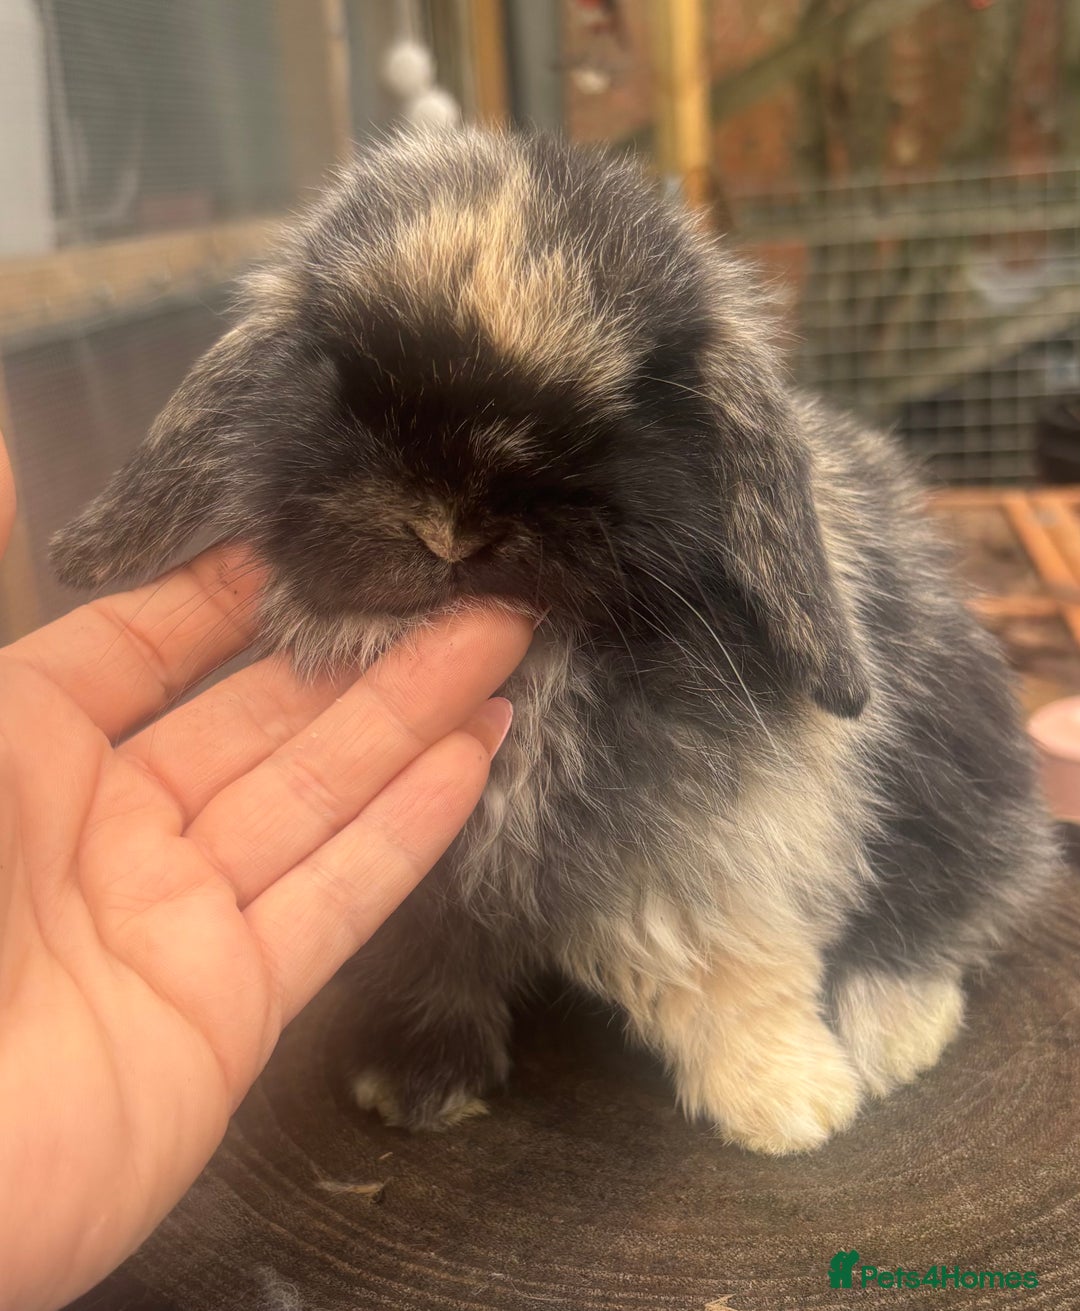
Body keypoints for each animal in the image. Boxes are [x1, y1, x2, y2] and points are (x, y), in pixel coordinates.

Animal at [51, 128, 1056, 1155]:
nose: (449, 529)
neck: (540, 670)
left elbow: (720, 965)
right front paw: (413, 1085)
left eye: (625, 408)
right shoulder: (424, 896)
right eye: (344, 379)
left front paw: (792, 1105)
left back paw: (894, 1036)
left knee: (952, 895)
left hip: (955, 771)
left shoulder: (710, 846)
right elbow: (429, 972)